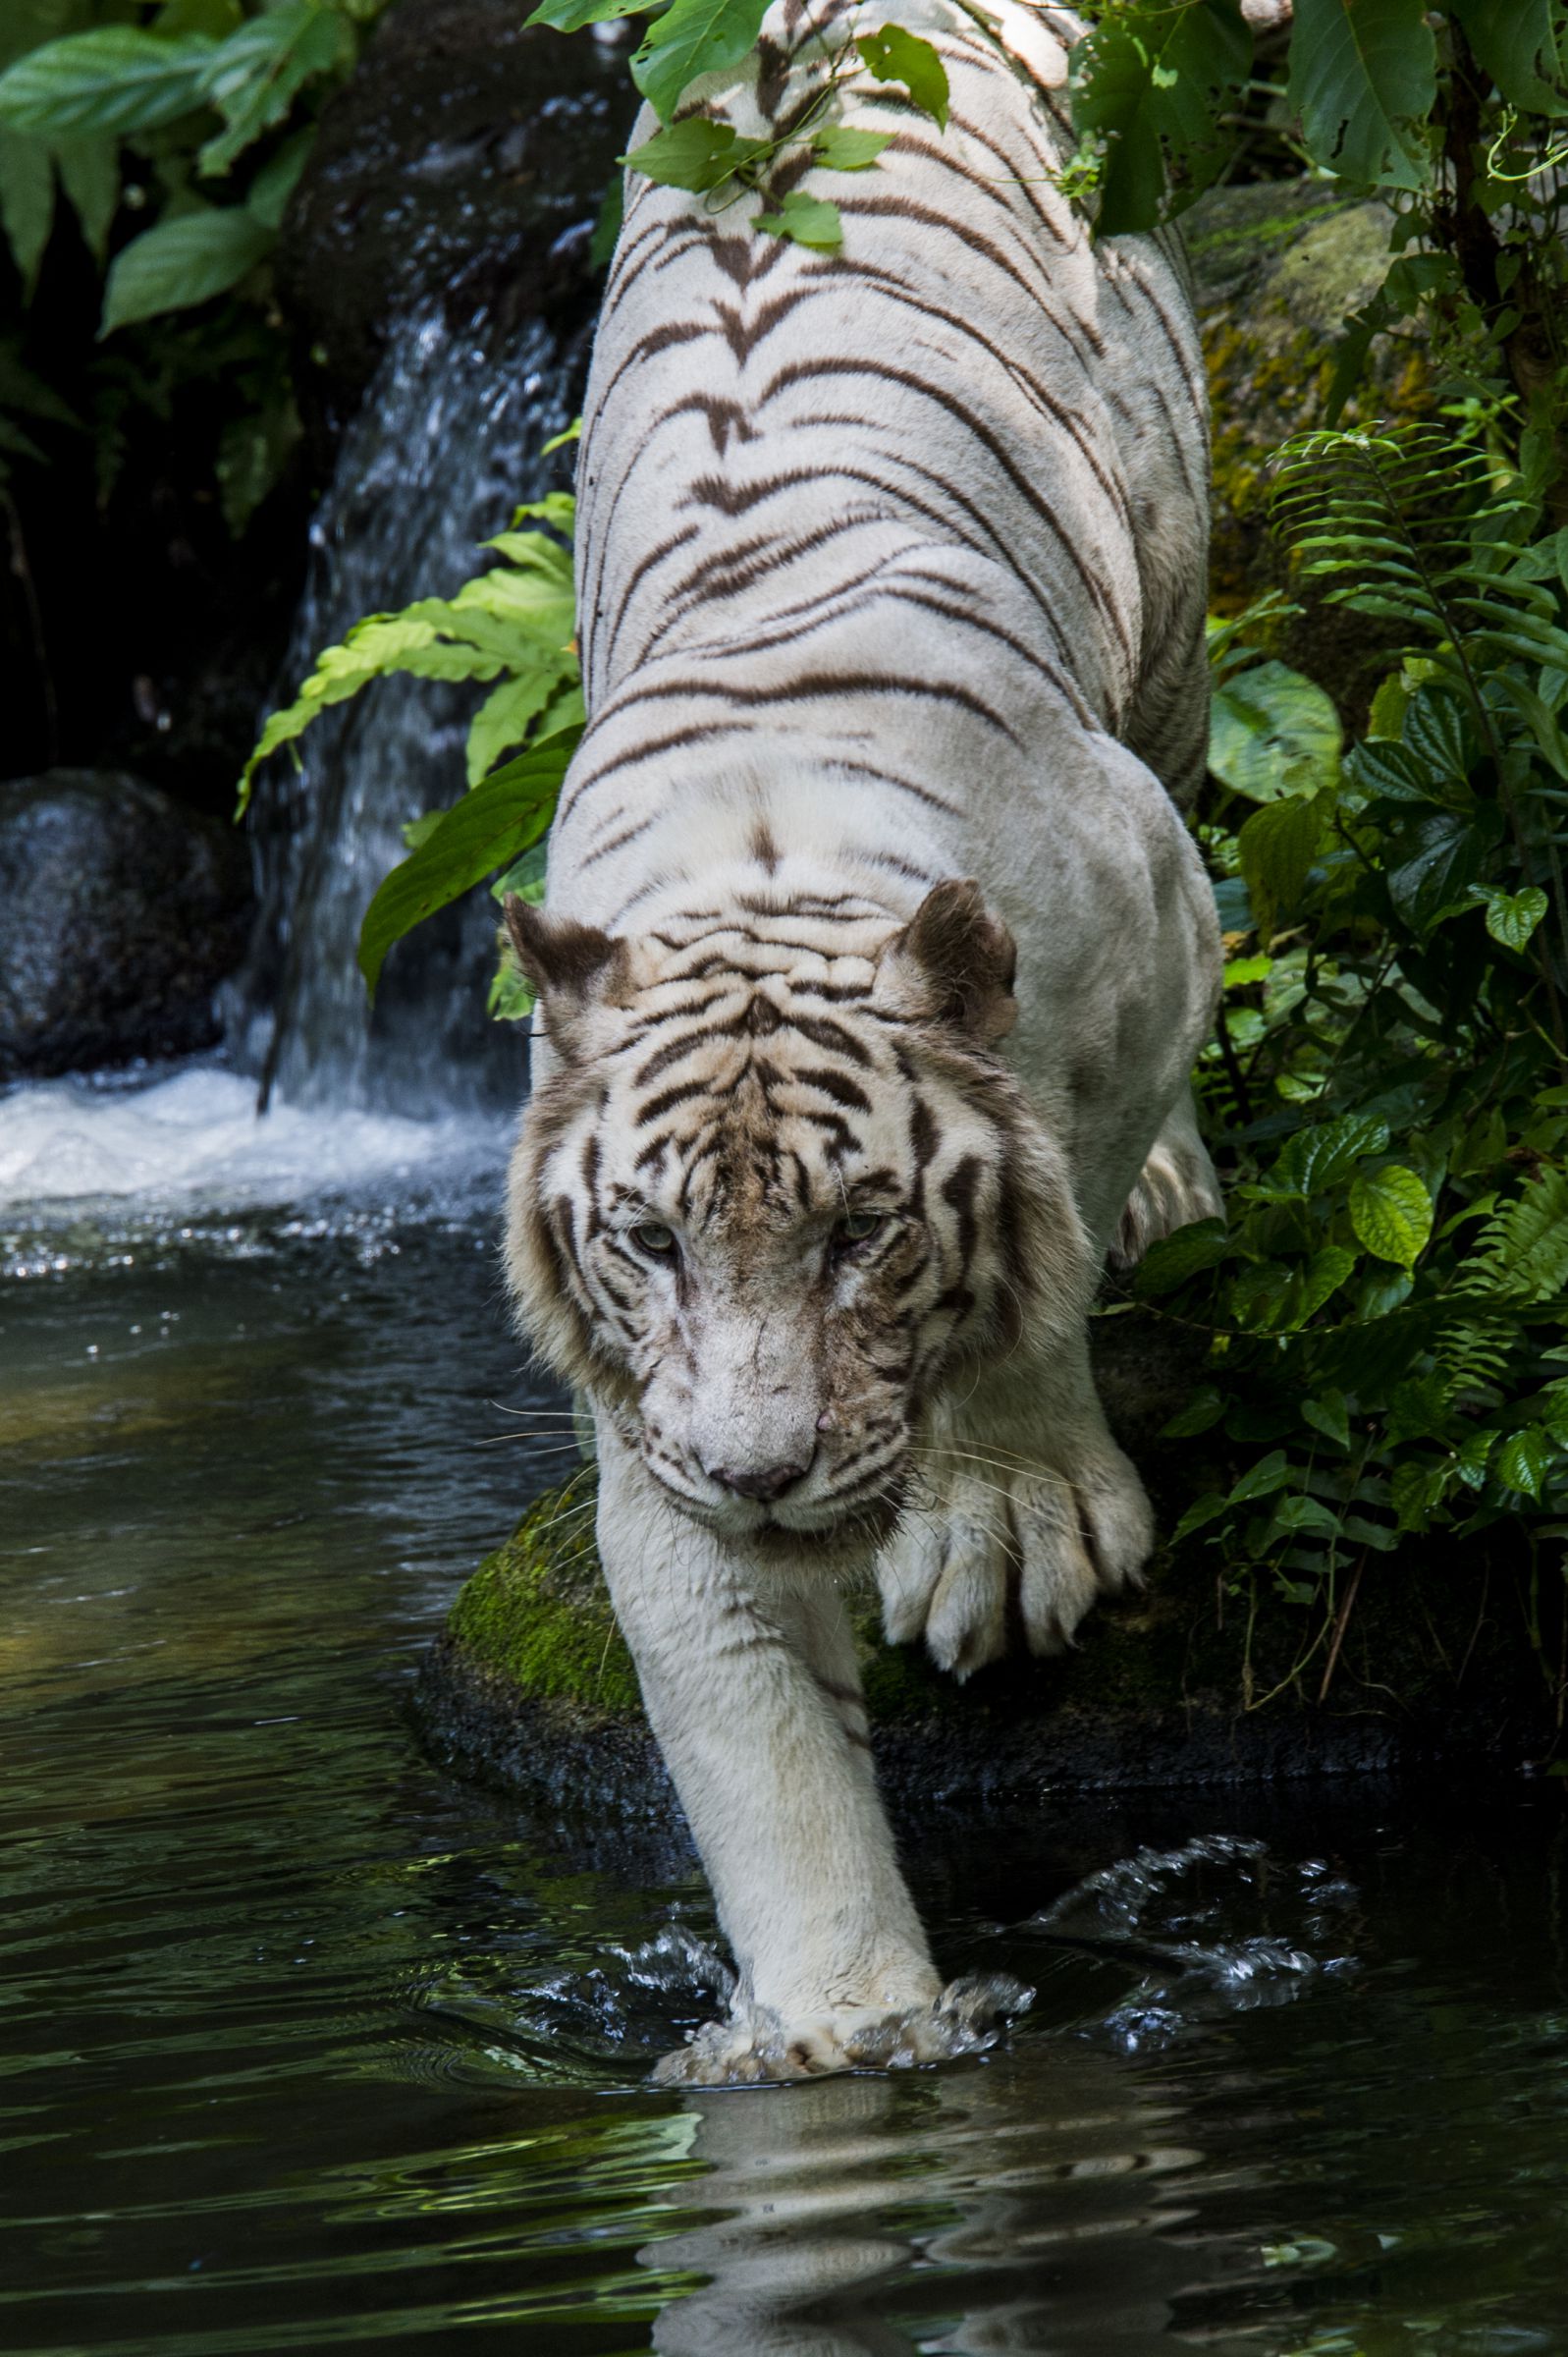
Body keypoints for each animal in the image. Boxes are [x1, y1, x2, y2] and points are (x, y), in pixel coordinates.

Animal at [502, 0, 1223, 2080]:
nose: (760, 1477)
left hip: (1165, 591)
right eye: (648, 1241)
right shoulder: (649, 1439)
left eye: (862, 1234)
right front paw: (841, 2030)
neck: (763, 856)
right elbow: (757, 1748)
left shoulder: (1154, 917)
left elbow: (1044, 1268)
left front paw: (1005, 1524)